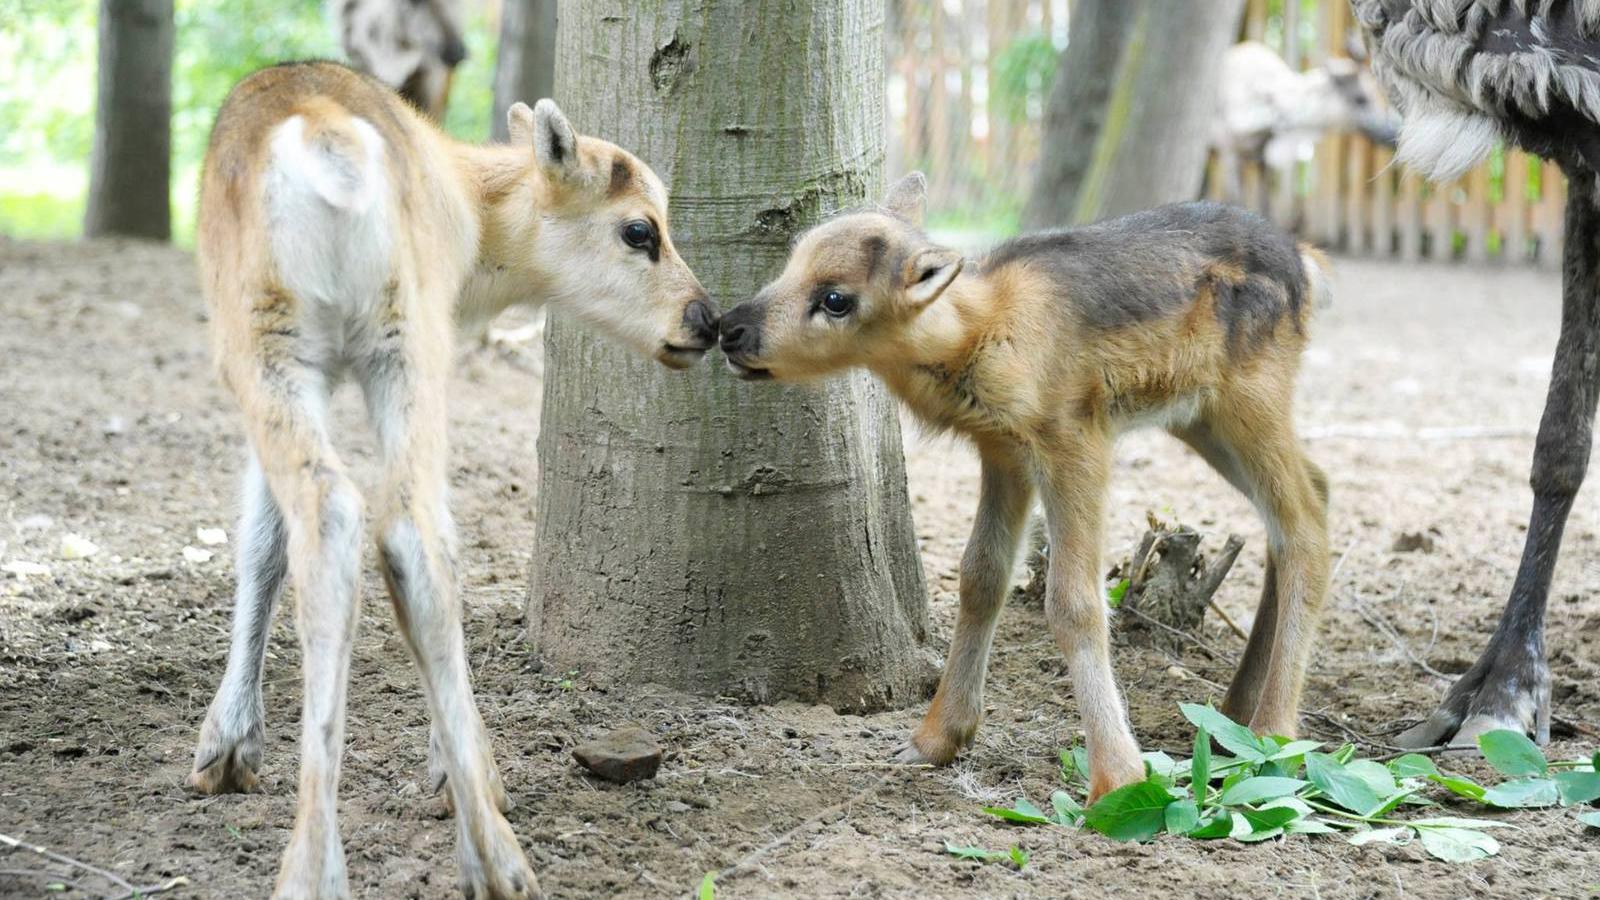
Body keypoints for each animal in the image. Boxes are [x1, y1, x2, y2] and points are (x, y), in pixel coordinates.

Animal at [188, 59, 713, 890]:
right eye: (641, 229)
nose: (707, 320)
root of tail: (328, 143)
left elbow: (261, 540)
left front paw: (228, 749)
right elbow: (271, 542)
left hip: (297, 343)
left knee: (358, 521)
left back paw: (343, 862)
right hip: (382, 341)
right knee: (402, 531)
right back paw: (490, 855)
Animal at [720, 175, 1331, 797]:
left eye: (837, 299)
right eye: (792, 260)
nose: (730, 329)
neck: (981, 333)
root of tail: (1308, 264)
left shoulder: (1076, 441)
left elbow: (1074, 601)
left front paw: (1118, 778)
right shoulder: (1003, 453)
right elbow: (981, 575)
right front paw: (934, 739)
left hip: (1249, 398)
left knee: (1304, 525)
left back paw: (1275, 736)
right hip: (1200, 418)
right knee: (1312, 492)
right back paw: (1235, 713)